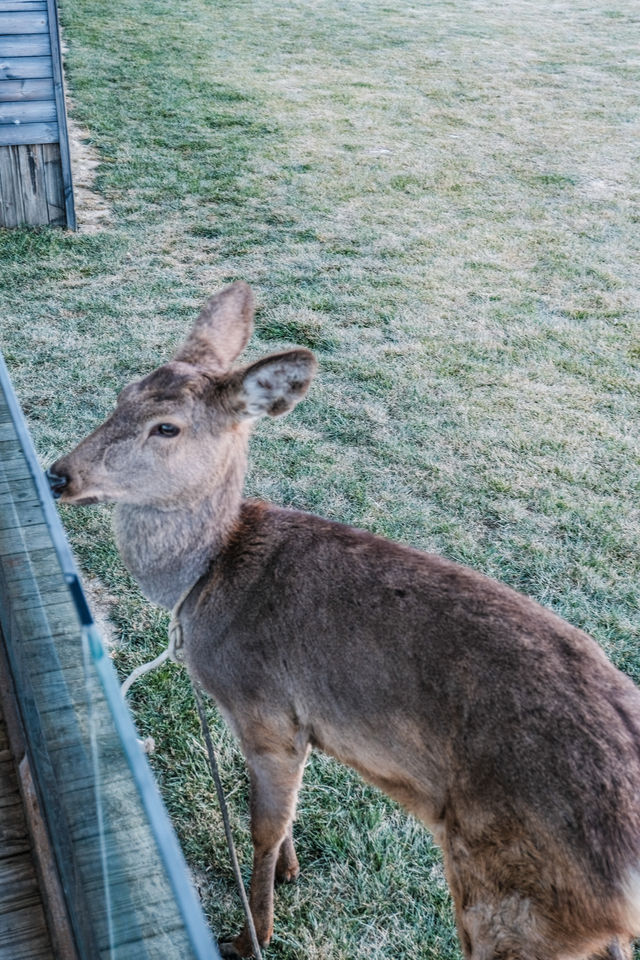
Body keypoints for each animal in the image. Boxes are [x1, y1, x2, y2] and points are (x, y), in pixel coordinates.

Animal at [47, 284, 640, 960]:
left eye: (166, 426)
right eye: (123, 393)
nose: (58, 474)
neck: (207, 581)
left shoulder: (266, 708)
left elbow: (261, 826)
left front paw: (252, 933)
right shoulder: (293, 725)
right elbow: (283, 814)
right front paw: (290, 870)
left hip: (518, 897)